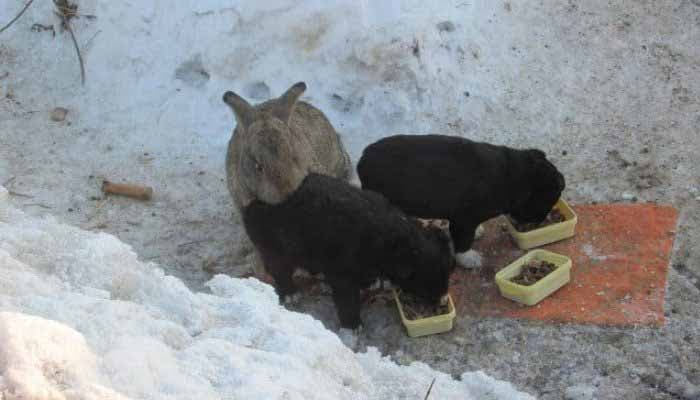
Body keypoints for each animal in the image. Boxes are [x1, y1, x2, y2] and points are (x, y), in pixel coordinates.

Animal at [243, 173, 456, 330]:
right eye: (426, 282)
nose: (443, 302)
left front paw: (370, 283)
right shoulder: (342, 273)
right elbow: (347, 300)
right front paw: (353, 325)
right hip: (274, 246)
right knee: (279, 270)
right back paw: (290, 294)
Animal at [358, 134, 568, 258]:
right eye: (547, 201)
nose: (538, 223)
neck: (513, 176)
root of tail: (362, 161)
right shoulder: (465, 219)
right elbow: (463, 242)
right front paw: (470, 259)